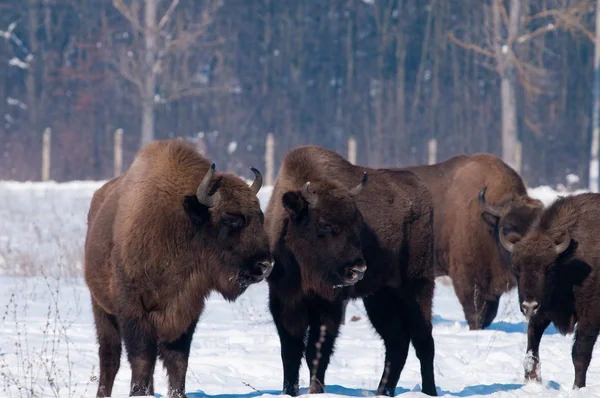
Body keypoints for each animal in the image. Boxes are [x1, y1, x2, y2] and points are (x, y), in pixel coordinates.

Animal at [83, 138, 274, 396]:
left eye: (260, 218)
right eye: (230, 219)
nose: (265, 265)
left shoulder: (185, 311)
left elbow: (177, 361)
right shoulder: (134, 309)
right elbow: (142, 359)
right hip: (101, 307)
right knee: (110, 357)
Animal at [264, 145, 438, 396]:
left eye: (358, 223)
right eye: (325, 224)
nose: (358, 269)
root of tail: (423, 193)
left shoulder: (330, 305)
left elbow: (317, 351)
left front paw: (315, 390)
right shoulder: (284, 301)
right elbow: (290, 352)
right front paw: (289, 391)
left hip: (417, 287)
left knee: (423, 340)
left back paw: (428, 391)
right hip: (380, 297)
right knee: (397, 341)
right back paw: (382, 392)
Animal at [496, 194, 600, 390]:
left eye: (550, 267)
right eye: (516, 267)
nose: (529, 306)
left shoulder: (590, 316)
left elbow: (580, 353)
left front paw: (577, 387)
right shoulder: (542, 313)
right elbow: (532, 349)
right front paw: (532, 381)